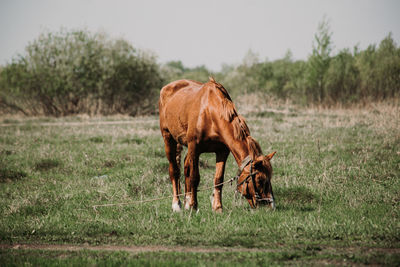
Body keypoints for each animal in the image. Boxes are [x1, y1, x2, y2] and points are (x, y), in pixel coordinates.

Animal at [158, 77, 276, 214]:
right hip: (168, 139)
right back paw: (177, 204)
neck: (210, 113)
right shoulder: (195, 148)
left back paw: (187, 201)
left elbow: (218, 179)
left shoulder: (222, 151)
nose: (271, 206)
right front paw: (194, 206)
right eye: (260, 180)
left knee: (186, 167)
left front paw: (217, 207)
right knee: (175, 171)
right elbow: (194, 177)